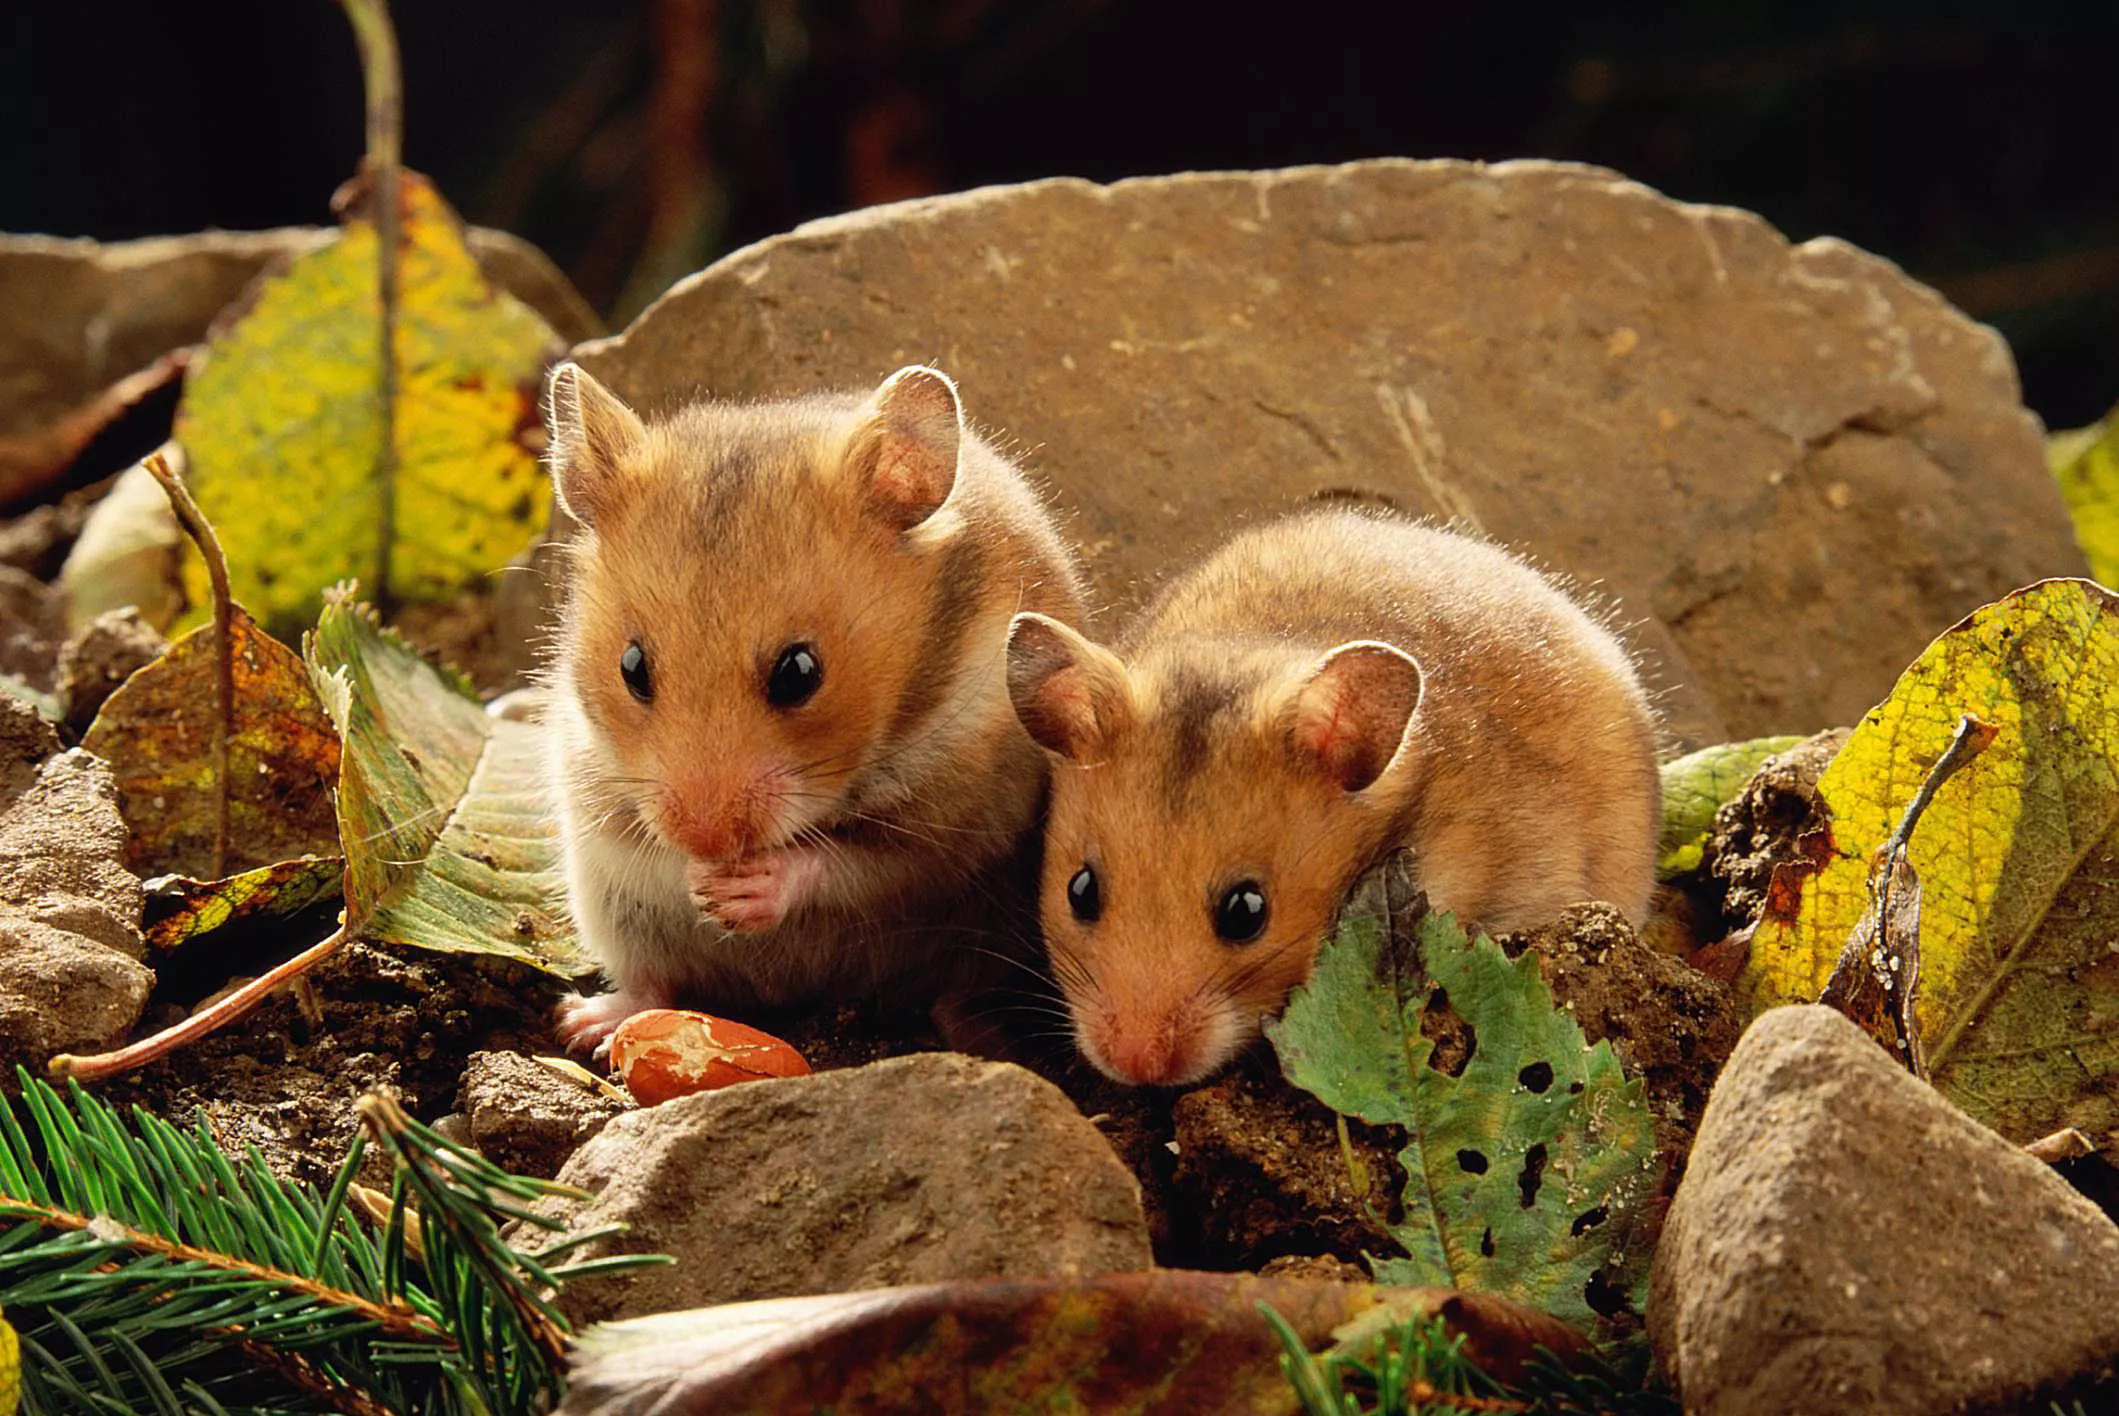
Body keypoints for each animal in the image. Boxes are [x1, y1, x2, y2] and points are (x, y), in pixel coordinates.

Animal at [542, 361, 1086, 1052]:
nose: (708, 839)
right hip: (610, 909)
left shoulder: (949, 833)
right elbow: (654, 856)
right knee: (652, 980)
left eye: (800, 673)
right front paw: (702, 882)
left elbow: (847, 862)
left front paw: (742, 888)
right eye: (632, 667)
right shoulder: (598, 797)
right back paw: (583, 1023)